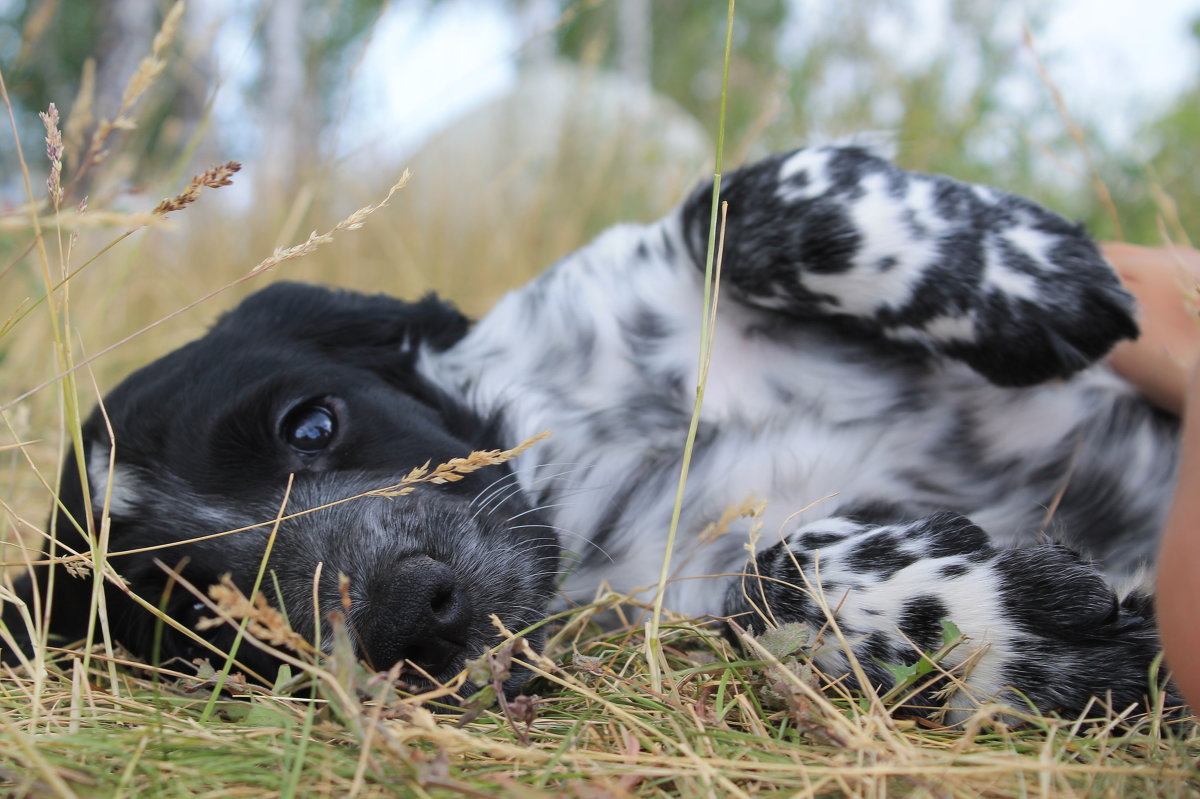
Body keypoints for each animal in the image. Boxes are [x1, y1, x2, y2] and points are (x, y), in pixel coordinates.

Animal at [2, 144, 1180, 715]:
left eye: (311, 423)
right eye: (202, 616)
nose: (409, 613)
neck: (586, 474)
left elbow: (744, 200)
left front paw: (1022, 268)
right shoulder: (675, 593)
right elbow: (767, 583)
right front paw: (1001, 630)